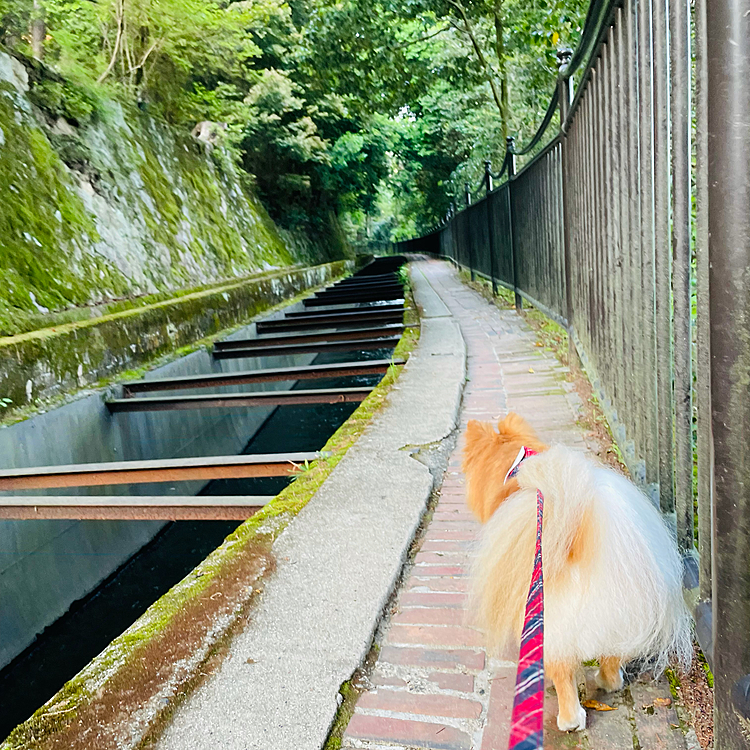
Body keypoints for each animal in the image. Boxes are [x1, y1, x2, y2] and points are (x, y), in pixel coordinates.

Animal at [464, 414, 692, 732]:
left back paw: (569, 718)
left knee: (563, 674)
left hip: (550, 624)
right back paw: (608, 681)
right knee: (611, 659)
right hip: (618, 618)